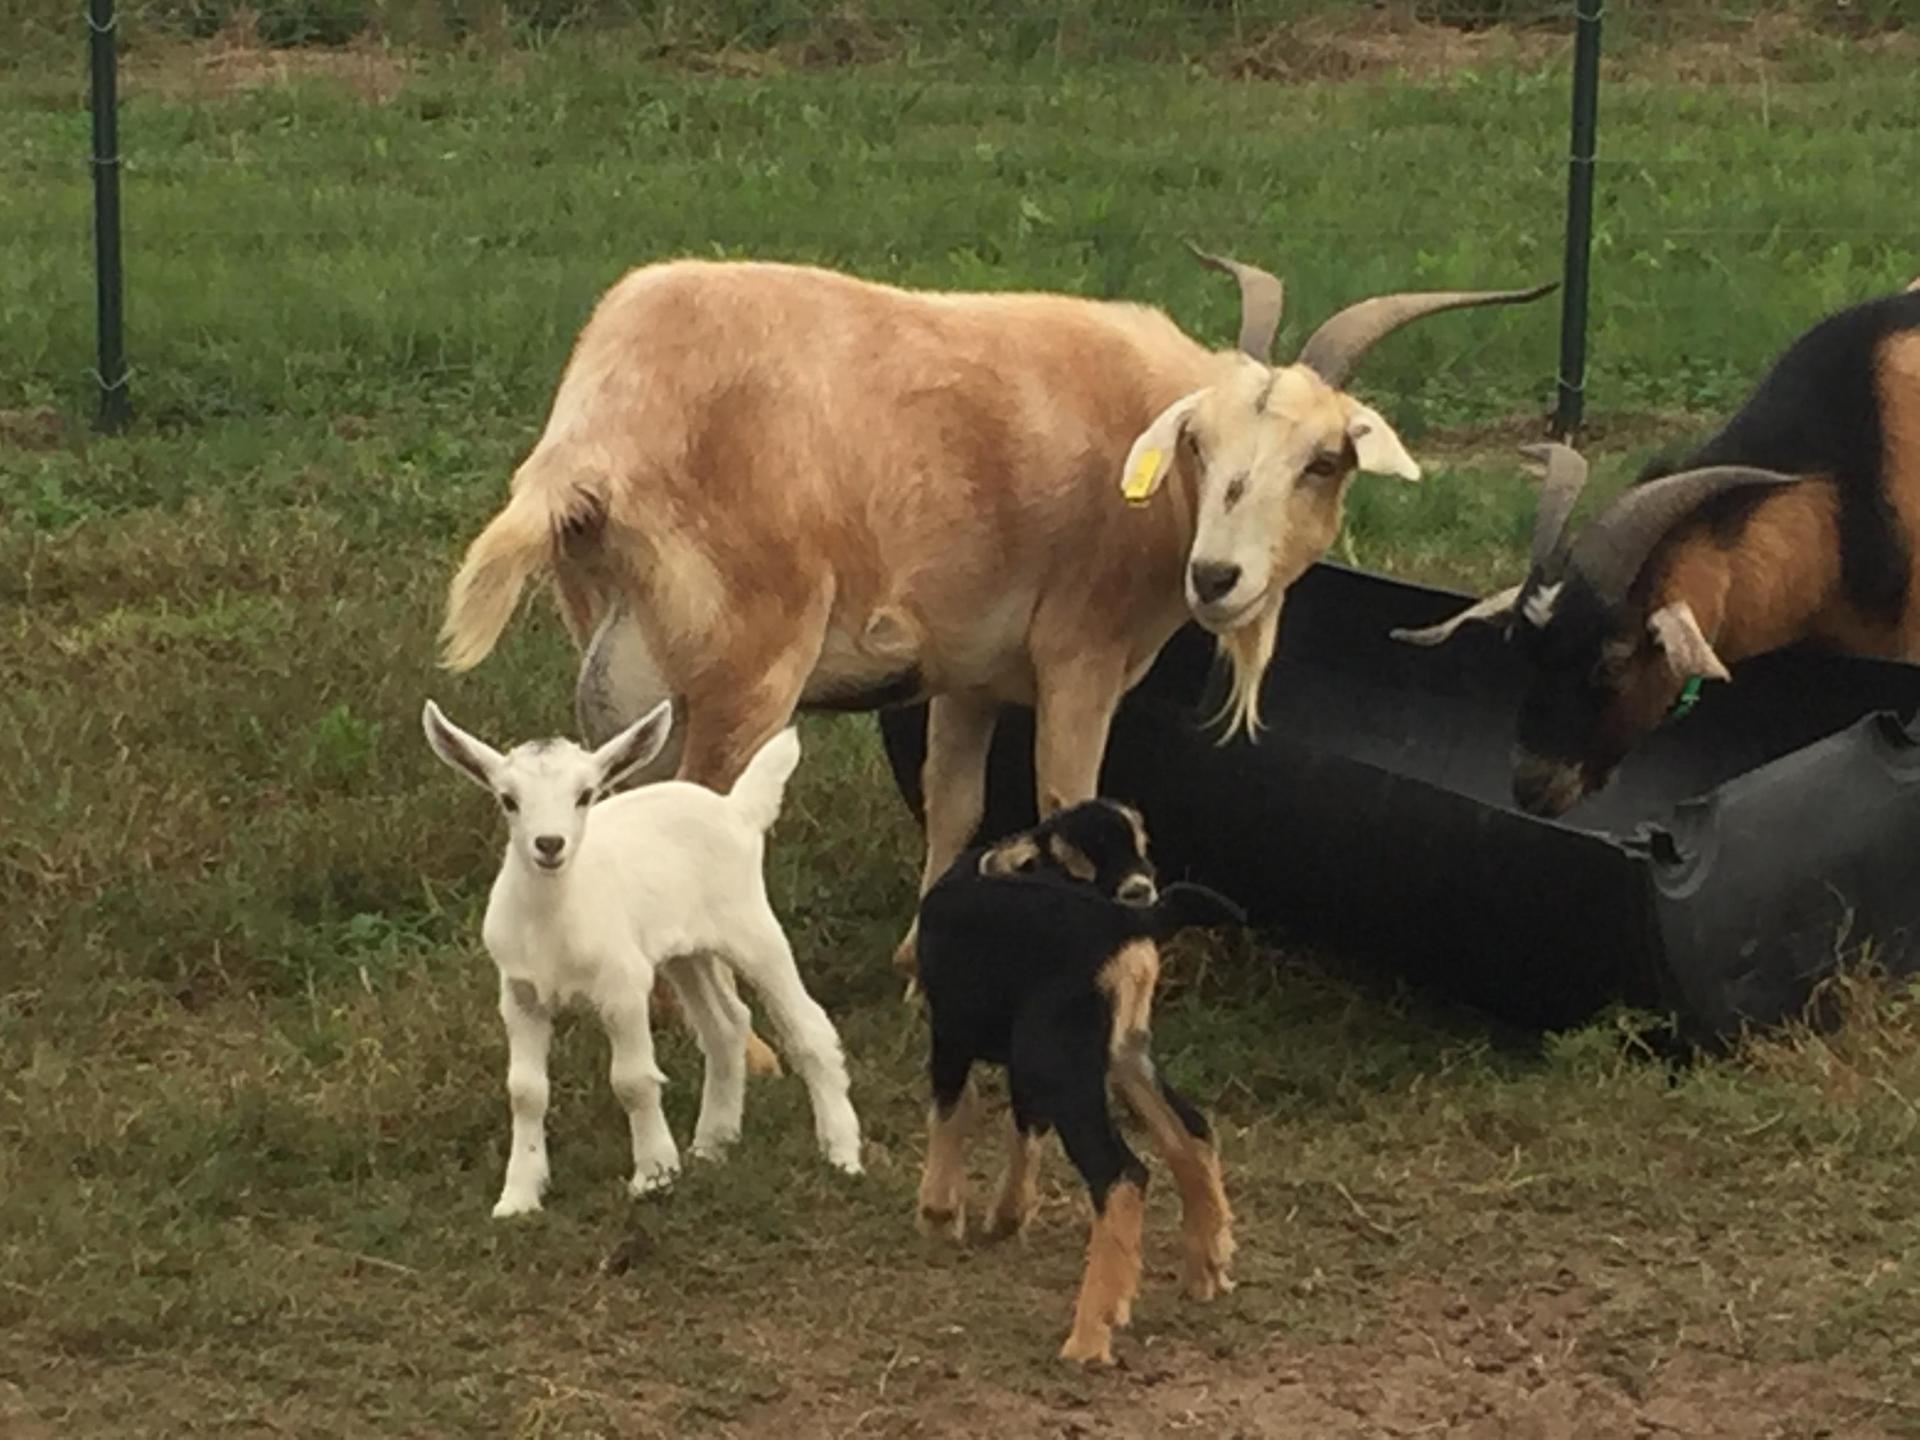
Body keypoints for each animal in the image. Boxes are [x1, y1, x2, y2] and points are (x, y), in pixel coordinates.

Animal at [421, 698, 863, 1216]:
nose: (549, 845)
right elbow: (526, 1092)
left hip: (750, 925)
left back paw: (842, 1154)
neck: (553, 923)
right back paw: (711, 1145)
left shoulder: (624, 986)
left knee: (808, 1027)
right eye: (508, 799)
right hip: (686, 951)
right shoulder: (520, 994)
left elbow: (632, 1080)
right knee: (726, 1026)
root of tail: (735, 808)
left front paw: (653, 1176)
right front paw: (519, 1197)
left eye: (585, 795)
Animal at [436, 250, 1553, 988]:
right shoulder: (1082, 657)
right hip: (745, 667)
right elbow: (1070, 800)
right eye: (1200, 442)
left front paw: (923, 960)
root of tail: (593, 435)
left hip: (624, 656)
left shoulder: (968, 673)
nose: (1219, 578)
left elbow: (959, 806)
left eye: (1324, 458)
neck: (1151, 476)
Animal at [913, 798, 1246, 1365]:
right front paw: (1006, 1217)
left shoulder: (952, 1035)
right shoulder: (1029, 1073)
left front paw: (938, 1215)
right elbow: (1023, 1132)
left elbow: (951, 1114)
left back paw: (1091, 1334)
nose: (1140, 885)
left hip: (1061, 1062)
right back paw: (1208, 1264)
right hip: (1122, 1055)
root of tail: (1128, 922)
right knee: (1191, 1131)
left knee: (1122, 1175)